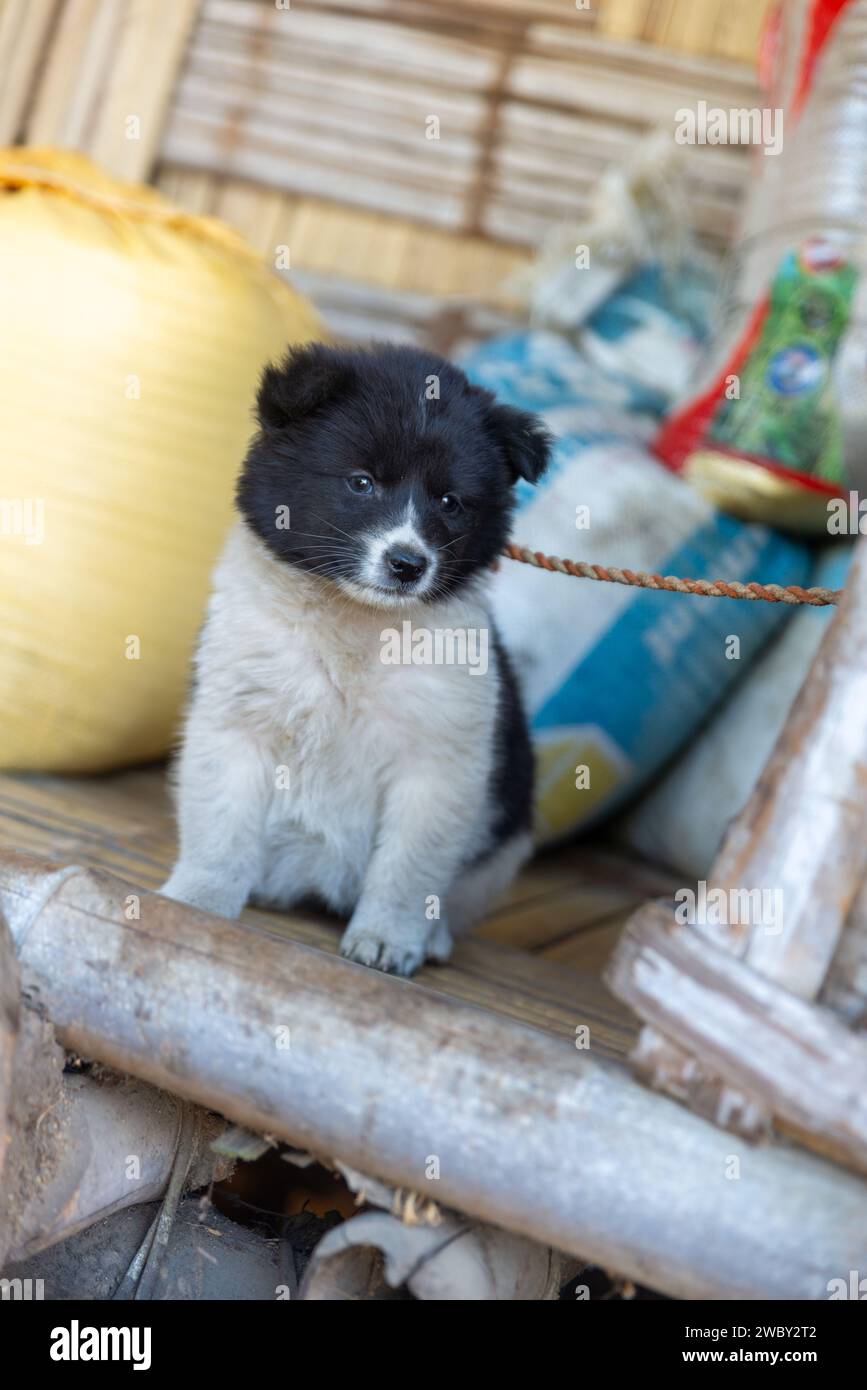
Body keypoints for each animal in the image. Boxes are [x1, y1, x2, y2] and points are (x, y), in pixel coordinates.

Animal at [162, 340, 547, 973]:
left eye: (450, 502)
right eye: (361, 483)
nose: (408, 564)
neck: (354, 622)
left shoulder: (439, 760)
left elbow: (409, 867)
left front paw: (388, 938)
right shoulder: (238, 718)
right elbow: (221, 827)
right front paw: (199, 902)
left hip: (504, 835)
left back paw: (431, 937)